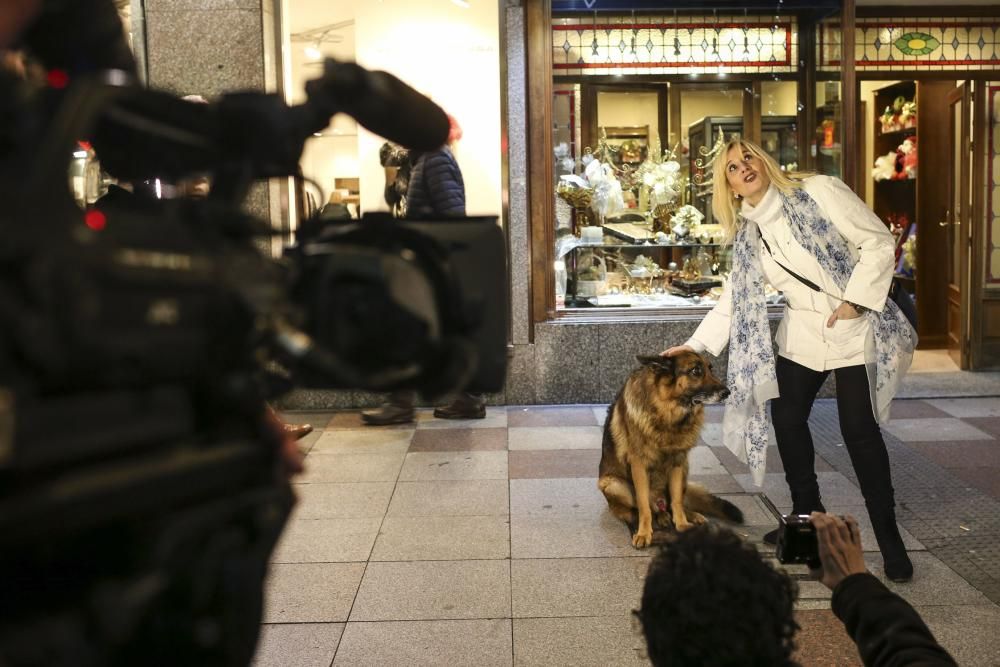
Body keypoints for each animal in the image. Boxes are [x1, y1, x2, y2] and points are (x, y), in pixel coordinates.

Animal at [592, 350, 744, 548]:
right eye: (696, 371)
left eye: (711, 369)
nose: (727, 392)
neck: (669, 413)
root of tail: (659, 501)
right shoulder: (639, 467)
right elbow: (643, 505)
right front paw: (644, 532)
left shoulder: (678, 463)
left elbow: (677, 500)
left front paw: (682, 524)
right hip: (612, 484)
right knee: (642, 508)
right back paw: (654, 518)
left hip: (685, 469)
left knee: (674, 503)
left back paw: (688, 515)